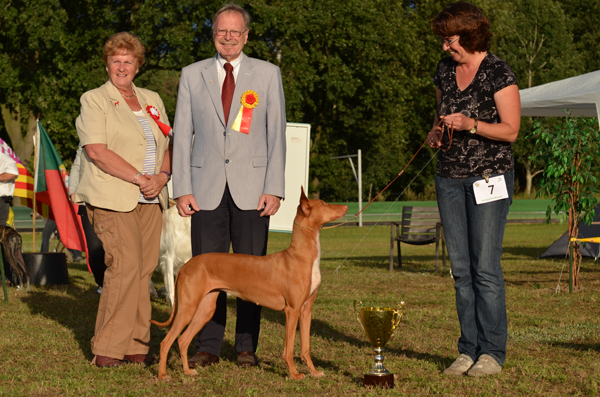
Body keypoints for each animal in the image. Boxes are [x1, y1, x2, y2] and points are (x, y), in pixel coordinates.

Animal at [150, 189, 346, 380]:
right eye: (324, 204)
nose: (345, 207)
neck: (300, 256)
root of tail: (186, 266)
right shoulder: (292, 310)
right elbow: (288, 349)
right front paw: (294, 374)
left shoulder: (306, 310)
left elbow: (305, 347)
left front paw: (314, 372)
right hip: (187, 307)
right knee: (166, 342)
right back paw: (162, 375)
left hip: (205, 308)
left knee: (182, 341)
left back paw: (187, 371)